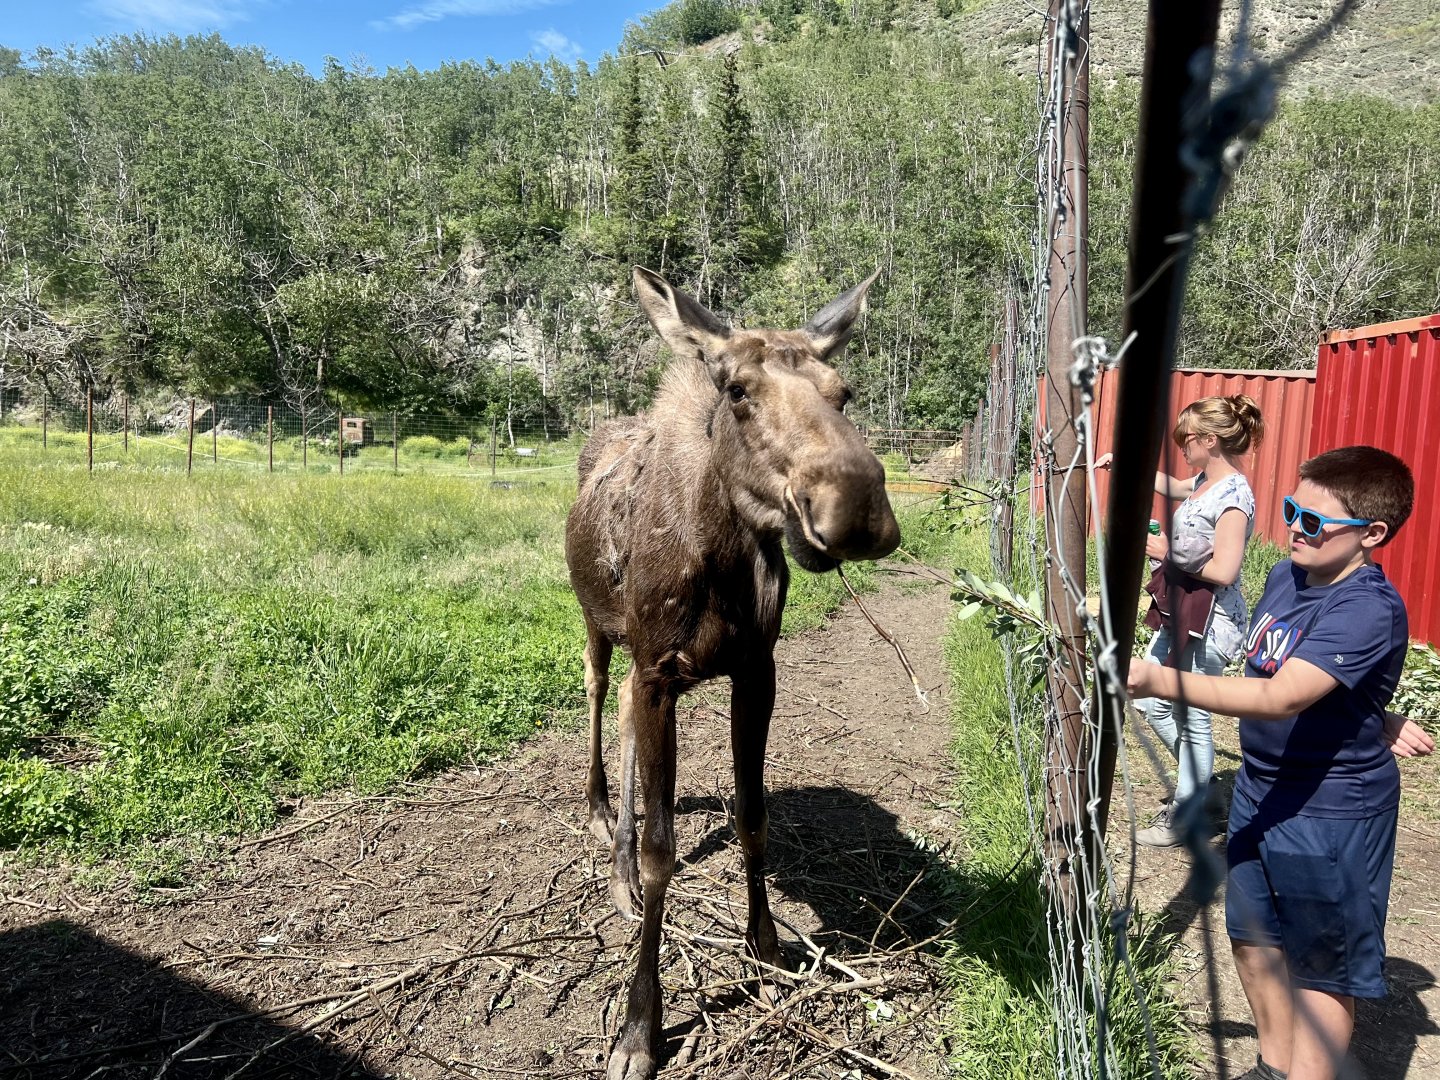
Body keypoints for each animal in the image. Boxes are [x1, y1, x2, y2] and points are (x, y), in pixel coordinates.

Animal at [564, 266, 900, 1080]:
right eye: (740, 390)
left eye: (843, 391)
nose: (856, 506)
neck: (716, 560)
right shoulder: (658, 672)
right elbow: (664, 854)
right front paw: (639, 1027)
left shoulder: (754, 671)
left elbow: (752, 816)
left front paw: (767, 943)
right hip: (599, 627)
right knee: (596, 693)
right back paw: (600, 821)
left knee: (623, 720)